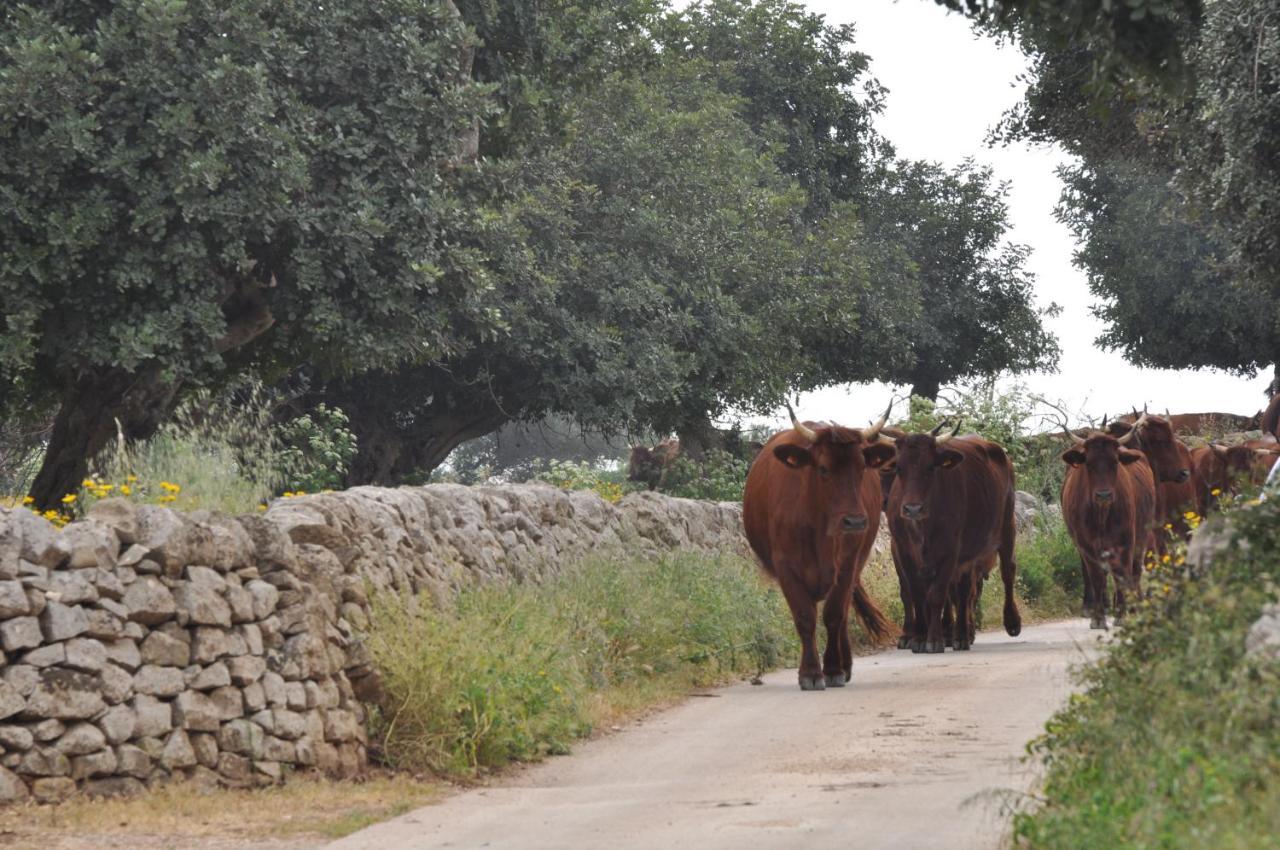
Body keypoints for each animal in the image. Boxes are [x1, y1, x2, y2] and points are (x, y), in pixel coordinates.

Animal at [742, 401, 901, 686]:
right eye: (823, 469)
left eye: (862, 468)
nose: (855, 521)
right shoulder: (785, 566)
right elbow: (805, 617)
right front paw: (810, 672)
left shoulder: (847, 565)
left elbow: (835, 614)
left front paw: (834, 668)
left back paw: (845, 665)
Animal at [885, 422, 1024, 652]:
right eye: (899, 468)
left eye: (930, 467)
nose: (912, 509)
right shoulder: (903, 550)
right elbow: (916, 594)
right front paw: (919, 637)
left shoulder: (951, 551)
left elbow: (938, 595)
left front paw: (934, 640)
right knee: (964, 593)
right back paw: (960, 634)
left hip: (1005, 529)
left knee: (1004, 573)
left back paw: (1006, 623)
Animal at [1059, 419, 1162, 629]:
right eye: (1089, 463)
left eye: (1115, 462)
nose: (1104, 495)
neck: (1101, 516)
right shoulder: (1086, 546)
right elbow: (1097, 578)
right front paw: (1098, 617)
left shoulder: (1125, 542)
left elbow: (1121, 576)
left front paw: (1122, 615)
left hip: (1141, 539)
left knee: (1134, 572)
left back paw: (1134, 606)